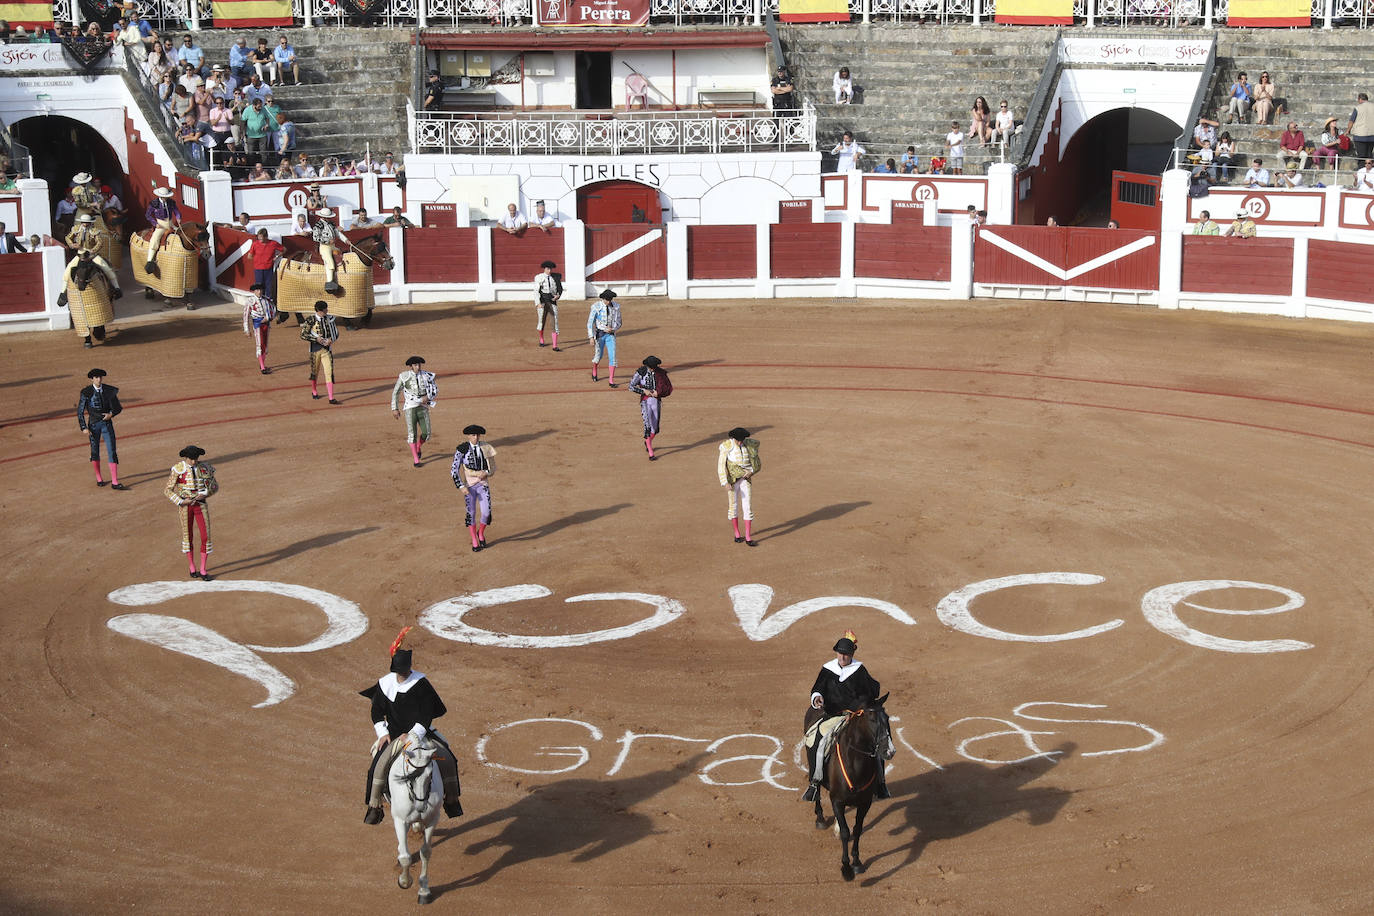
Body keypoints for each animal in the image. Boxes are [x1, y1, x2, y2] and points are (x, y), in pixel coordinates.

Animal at [390, 736, 442, 900]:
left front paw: (424, 890)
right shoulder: (400, 820)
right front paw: (404, 882)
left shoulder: (432, 820)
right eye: (410, 775)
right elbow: (405, 857)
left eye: (430, 775)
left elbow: (425, 852)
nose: (420, 807)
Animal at [807, 694, 895, 878]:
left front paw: (856, 863)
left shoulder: (865, 803)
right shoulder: (837, 801)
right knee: (816, 790)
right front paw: (846, 868)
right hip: (812, 769)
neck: (856, 764)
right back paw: (820, 818)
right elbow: (846, 832)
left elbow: (857, 829)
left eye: (887, 718)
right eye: (871, 718)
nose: (889, 751)